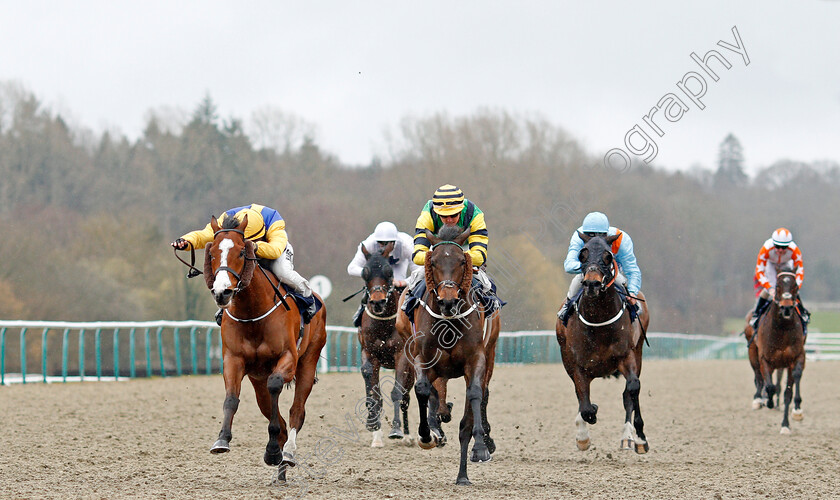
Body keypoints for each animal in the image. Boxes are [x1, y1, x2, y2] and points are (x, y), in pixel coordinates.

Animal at [205, 214, 326, 480]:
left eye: (242, 252)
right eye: (211, 253)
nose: (222, 292)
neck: (252, 313)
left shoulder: (288, 357)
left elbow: (276, 387)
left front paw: (272, 451)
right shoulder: (233, 360)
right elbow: (231, 398)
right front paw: (222, 440)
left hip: (308, 361)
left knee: (296, 411)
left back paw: (287, 454)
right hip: (256, 379)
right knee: (274, 411)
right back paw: (280, 469)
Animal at [356, 244, 416, 448]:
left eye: (389, 273)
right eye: (365, 273)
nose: (377, 302)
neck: (383, 324)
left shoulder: (402, 356)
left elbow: (397, 393)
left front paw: (397, 429)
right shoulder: (369, 353)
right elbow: (373, 394)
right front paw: (374, 429)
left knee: (406, 397)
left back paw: (408, 435)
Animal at [402, 226, 498, 484]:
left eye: (461, 262)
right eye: (433, 261)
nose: (448, 301)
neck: (448, 324)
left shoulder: (476, 359)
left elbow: (474, 395)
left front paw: (480, 446)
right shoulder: (422, 358)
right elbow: (423, 389)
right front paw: (427, 435)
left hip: (491, 352)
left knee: (482, 395)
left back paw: (467, 467)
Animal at [556, 232, 652, 456]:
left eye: (608, 257)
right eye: (582, 255)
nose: (591, 284)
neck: (599, 320)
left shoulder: (627, 356)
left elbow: (632, 388)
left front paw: (640, 438)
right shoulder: (577, 365)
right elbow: (585, 404)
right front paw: (583, 434)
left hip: (638, 352)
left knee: (629, 393)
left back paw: (629, 437)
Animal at [744, 272, 804, 432]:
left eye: (795, 286)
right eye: (777, 286)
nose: (786, 307)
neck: (782, 329)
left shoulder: (796, 357)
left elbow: (789, 390)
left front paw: (789, 421)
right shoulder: (765, 358)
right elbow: (769, 385)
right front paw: (768, 401)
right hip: (752, 352)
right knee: (758, 376)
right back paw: (759, 399)